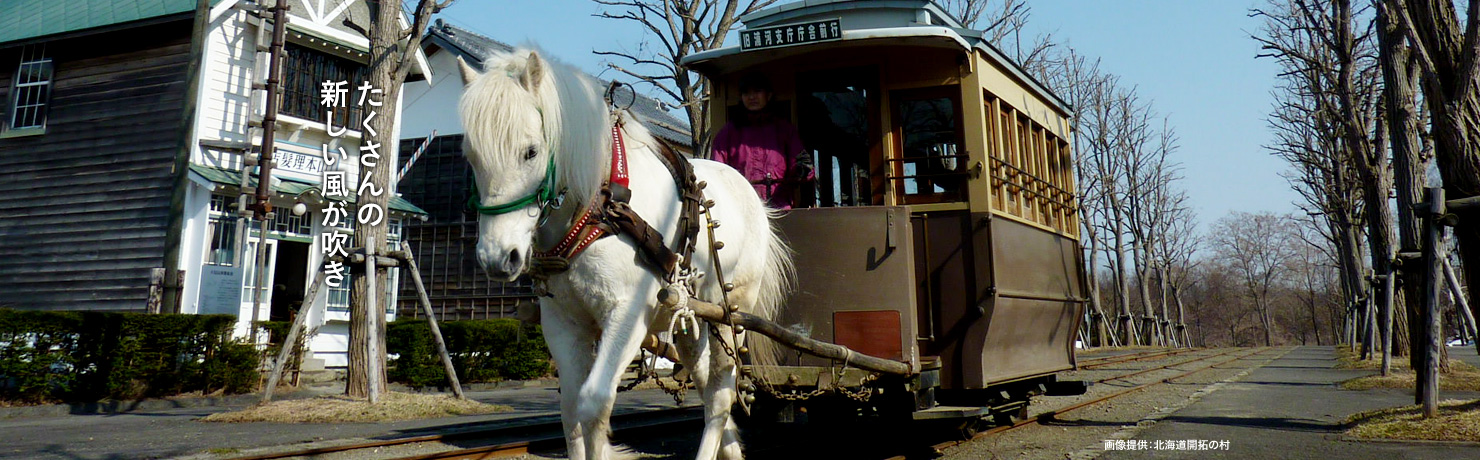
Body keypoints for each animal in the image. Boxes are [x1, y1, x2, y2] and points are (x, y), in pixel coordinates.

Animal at [455, 50, 793, 460]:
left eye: (530, 152)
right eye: (470, 156)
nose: (497, 257)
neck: (596, 210)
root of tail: (754, 197)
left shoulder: (627, 313)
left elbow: (593, 404)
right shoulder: (562, 321)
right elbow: (570, 413)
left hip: (732, 312)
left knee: (721, 394)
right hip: (692, 320)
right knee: (708, 384)